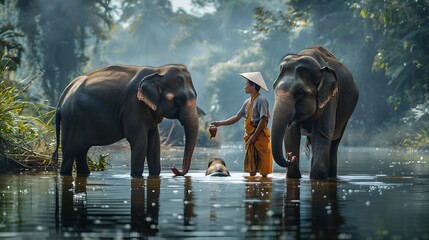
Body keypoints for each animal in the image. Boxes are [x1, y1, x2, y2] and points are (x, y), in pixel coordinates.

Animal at [51, 63, 198, 176]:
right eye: (179, 100)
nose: (174, 169)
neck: (157, 70)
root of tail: (62, 98)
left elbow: (154, 142)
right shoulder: (133, 106)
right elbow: (139, 141)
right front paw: (136, 176)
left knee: (81, 151)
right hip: (71, 121)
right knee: (70, 153)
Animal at [270, 46, 358, 179]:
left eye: (300, 92)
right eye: (274, 88)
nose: (290, 156)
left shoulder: (330, 99)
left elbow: (321, 134)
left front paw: (317, 176)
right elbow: (290, 134)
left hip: (346, 117)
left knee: (334, 143)